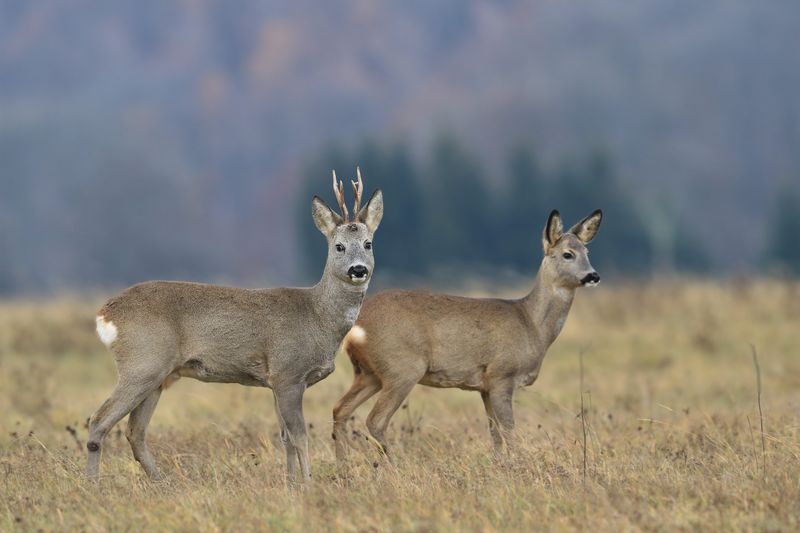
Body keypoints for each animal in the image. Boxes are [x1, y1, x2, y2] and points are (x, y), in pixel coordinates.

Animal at [87, 169, 383, 482]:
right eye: (339, 246)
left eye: (368, 243)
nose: (358, 269)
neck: (317, 317)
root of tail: (105, 313)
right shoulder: (287, 373)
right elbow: (300, 436)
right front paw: (307, 483)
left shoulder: (274, 381)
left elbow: (285, 438)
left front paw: (291, 483)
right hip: (142, 363)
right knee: (99, 420)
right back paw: (94, 483)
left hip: (158, 375)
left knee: (135, 431)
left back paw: (163, 482)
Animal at [332, 209, 602, 458]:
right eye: (568, 253)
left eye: (587, 252)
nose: (593, 276)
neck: (531, 324)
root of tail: (356, 326)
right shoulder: (501, 375)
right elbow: (509, 432)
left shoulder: (485, 387)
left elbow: (495, 434)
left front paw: (500, 465)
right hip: (402, 368)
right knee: (375, 420)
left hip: (369, 373)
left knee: (340, 409)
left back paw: (345, 464)